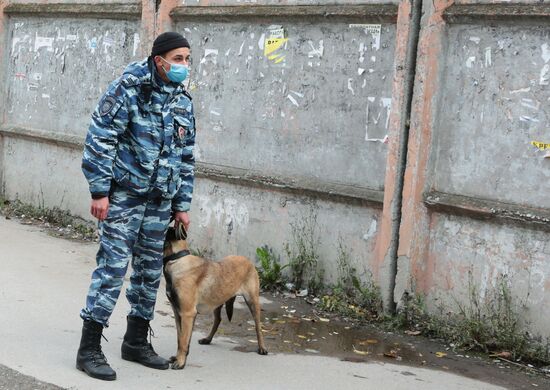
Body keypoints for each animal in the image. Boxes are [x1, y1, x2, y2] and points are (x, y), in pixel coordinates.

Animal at [163, 225, 268, 368]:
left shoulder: (187, 313)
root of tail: (248, 260)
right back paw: (208, 339)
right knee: (218, 320)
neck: (177, 259)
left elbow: (183, 340)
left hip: (252, 301)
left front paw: (180, 362)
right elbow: (181, 338)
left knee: (258, 326)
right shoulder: (178, 313)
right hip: (217, 302)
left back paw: (262, 347)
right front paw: (179, 357)